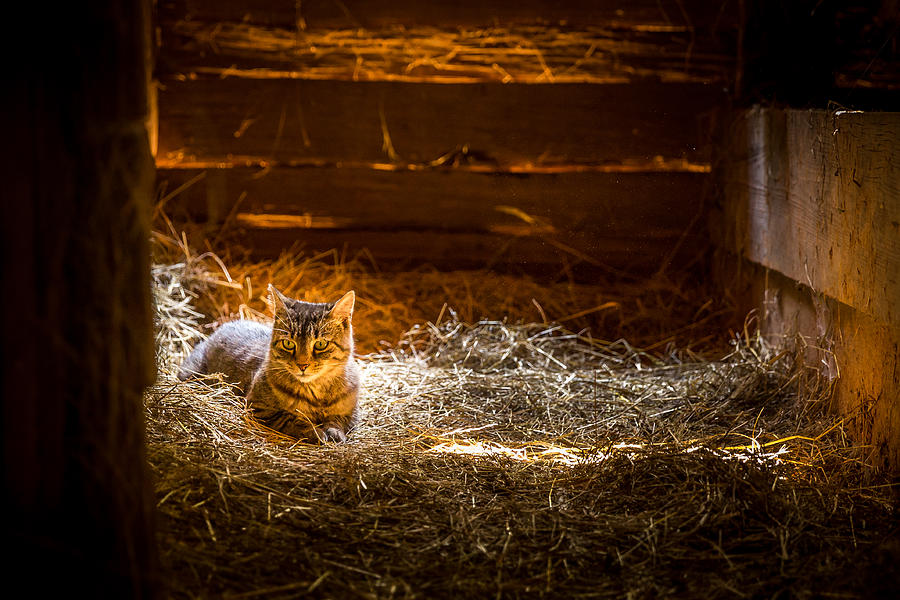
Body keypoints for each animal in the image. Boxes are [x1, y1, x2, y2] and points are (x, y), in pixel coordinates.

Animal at [178, 284, 360, 442]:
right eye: (288, 344)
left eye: (321, 344)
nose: (302, 365)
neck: (315, 392)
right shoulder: (259, 407)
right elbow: (291, 418)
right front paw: (314, 431)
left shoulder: (351, 412)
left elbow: (338, 420)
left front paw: (334, 431)